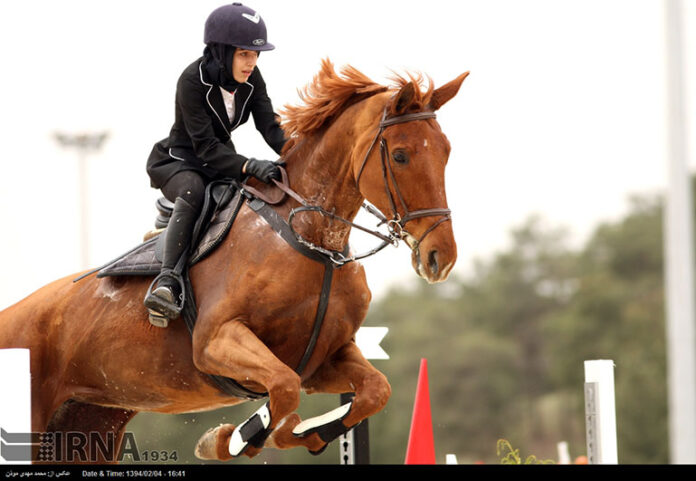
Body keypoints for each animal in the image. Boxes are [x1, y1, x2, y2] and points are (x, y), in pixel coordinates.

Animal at [0, 59, 468, 463]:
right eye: (401, 155)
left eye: (446, 152)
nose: (440, 258)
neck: (311, 240)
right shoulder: (216, 341)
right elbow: (283, 388)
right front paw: (229, 440)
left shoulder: (324, 358)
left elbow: (374, 390)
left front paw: (299, 434)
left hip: (89, 422)